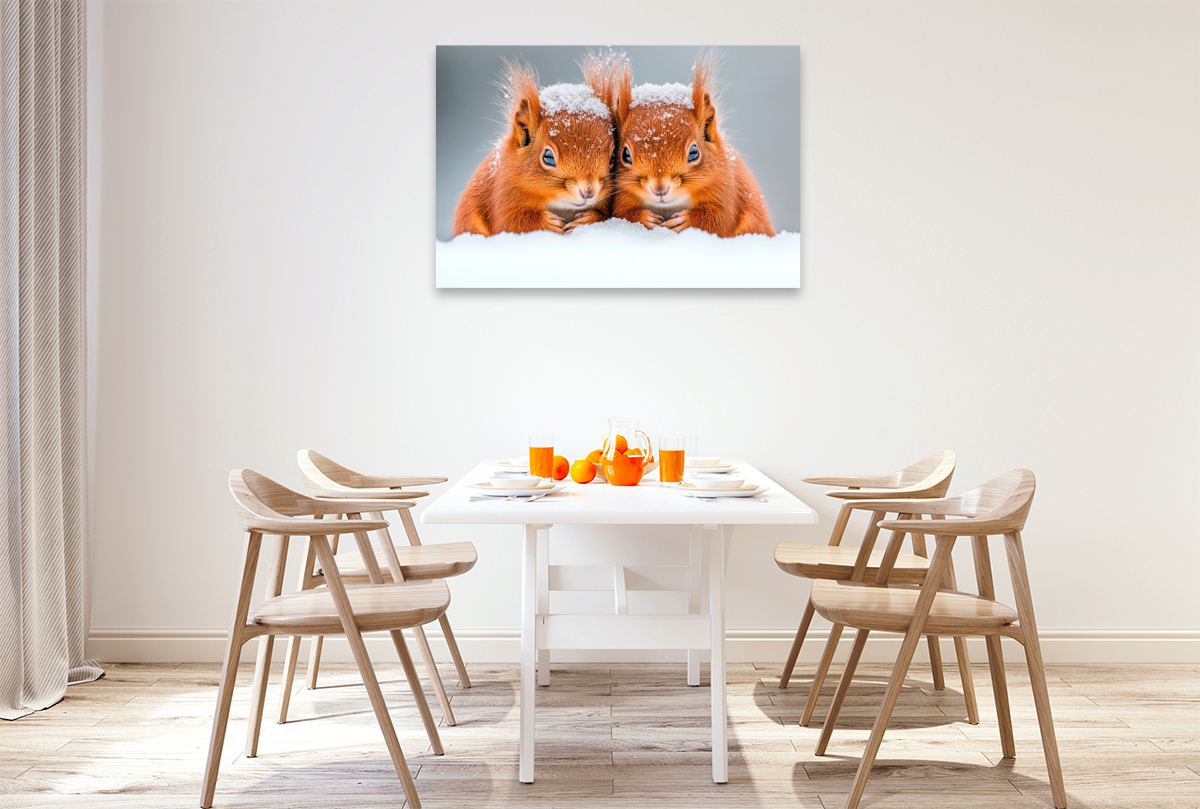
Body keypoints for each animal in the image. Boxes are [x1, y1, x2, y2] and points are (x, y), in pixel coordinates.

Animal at [452, 55, 627, 237]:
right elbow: (509, 223)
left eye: (613, 157)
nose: (588, 192)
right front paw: (547, 224)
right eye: (548, 157)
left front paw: (587, 220)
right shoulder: (503, 194)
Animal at [611, 55, 775, 237]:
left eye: (694, 152)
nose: (660, 189)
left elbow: (720, 220)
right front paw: (644, 218)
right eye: (625, 155)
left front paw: (686, 221)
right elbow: (621, 214)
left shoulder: (726, 189)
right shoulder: (621, 197)